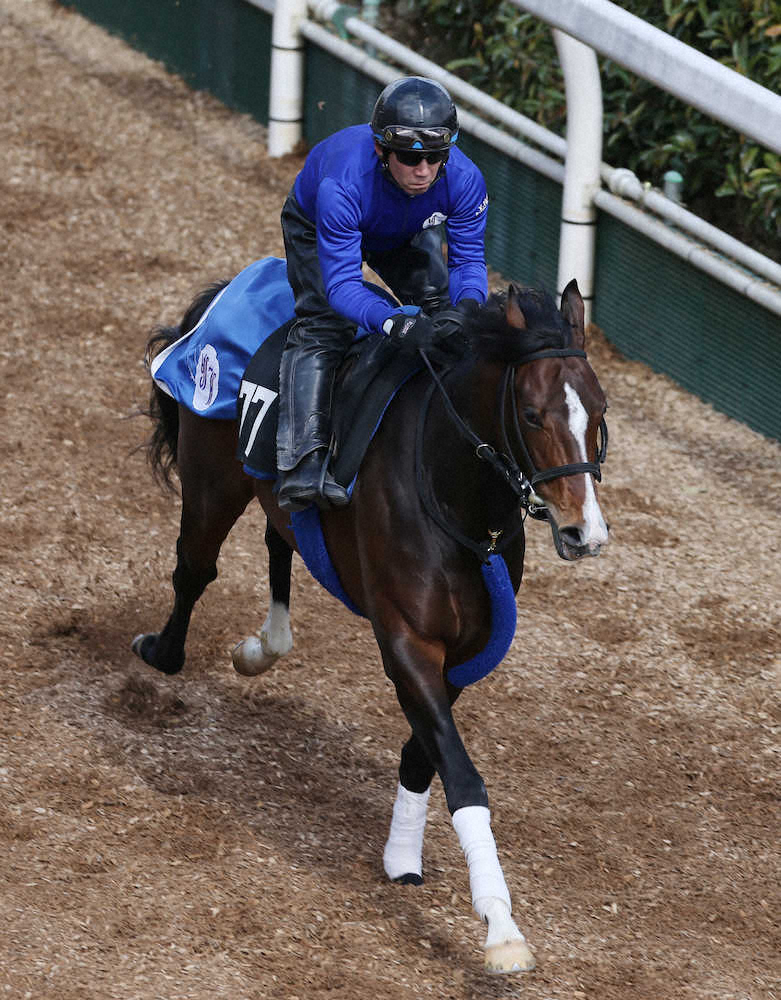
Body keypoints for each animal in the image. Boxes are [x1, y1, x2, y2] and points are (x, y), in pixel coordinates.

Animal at [133, 268, 608, 976]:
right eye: (531, 415)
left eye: (599, 412)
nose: (584, 533)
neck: (454, 498)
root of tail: (235, 284)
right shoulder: (407, 640)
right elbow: (461, 774)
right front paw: (500, 927)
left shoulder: (462, 651)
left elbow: (423, 752)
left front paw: (402, 855)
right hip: (213, 480)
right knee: (194, 569)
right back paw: (162, 651)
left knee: (279, 536)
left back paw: (264, 646)